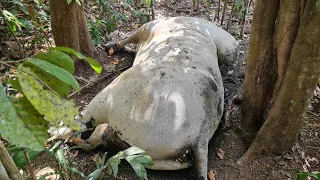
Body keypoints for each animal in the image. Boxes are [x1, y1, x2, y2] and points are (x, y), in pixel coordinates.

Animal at [82, 16, 238, 179]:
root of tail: (201, 135)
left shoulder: (148, 28)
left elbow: (129, 37)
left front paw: (112, 45)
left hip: (115, 97)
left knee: (89, 127)